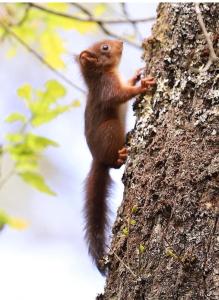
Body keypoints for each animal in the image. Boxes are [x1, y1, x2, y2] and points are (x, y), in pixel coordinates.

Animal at [78, 39, 155, 274]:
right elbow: (121, 95)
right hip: (111, 129)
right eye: (104, 47)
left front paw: (137, 75)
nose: (120, 42)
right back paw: (120, 156)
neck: (103, 73)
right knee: (113, 164)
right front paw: (143, 85)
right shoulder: (108, 88)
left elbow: (127, 83)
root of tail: (98, 159)